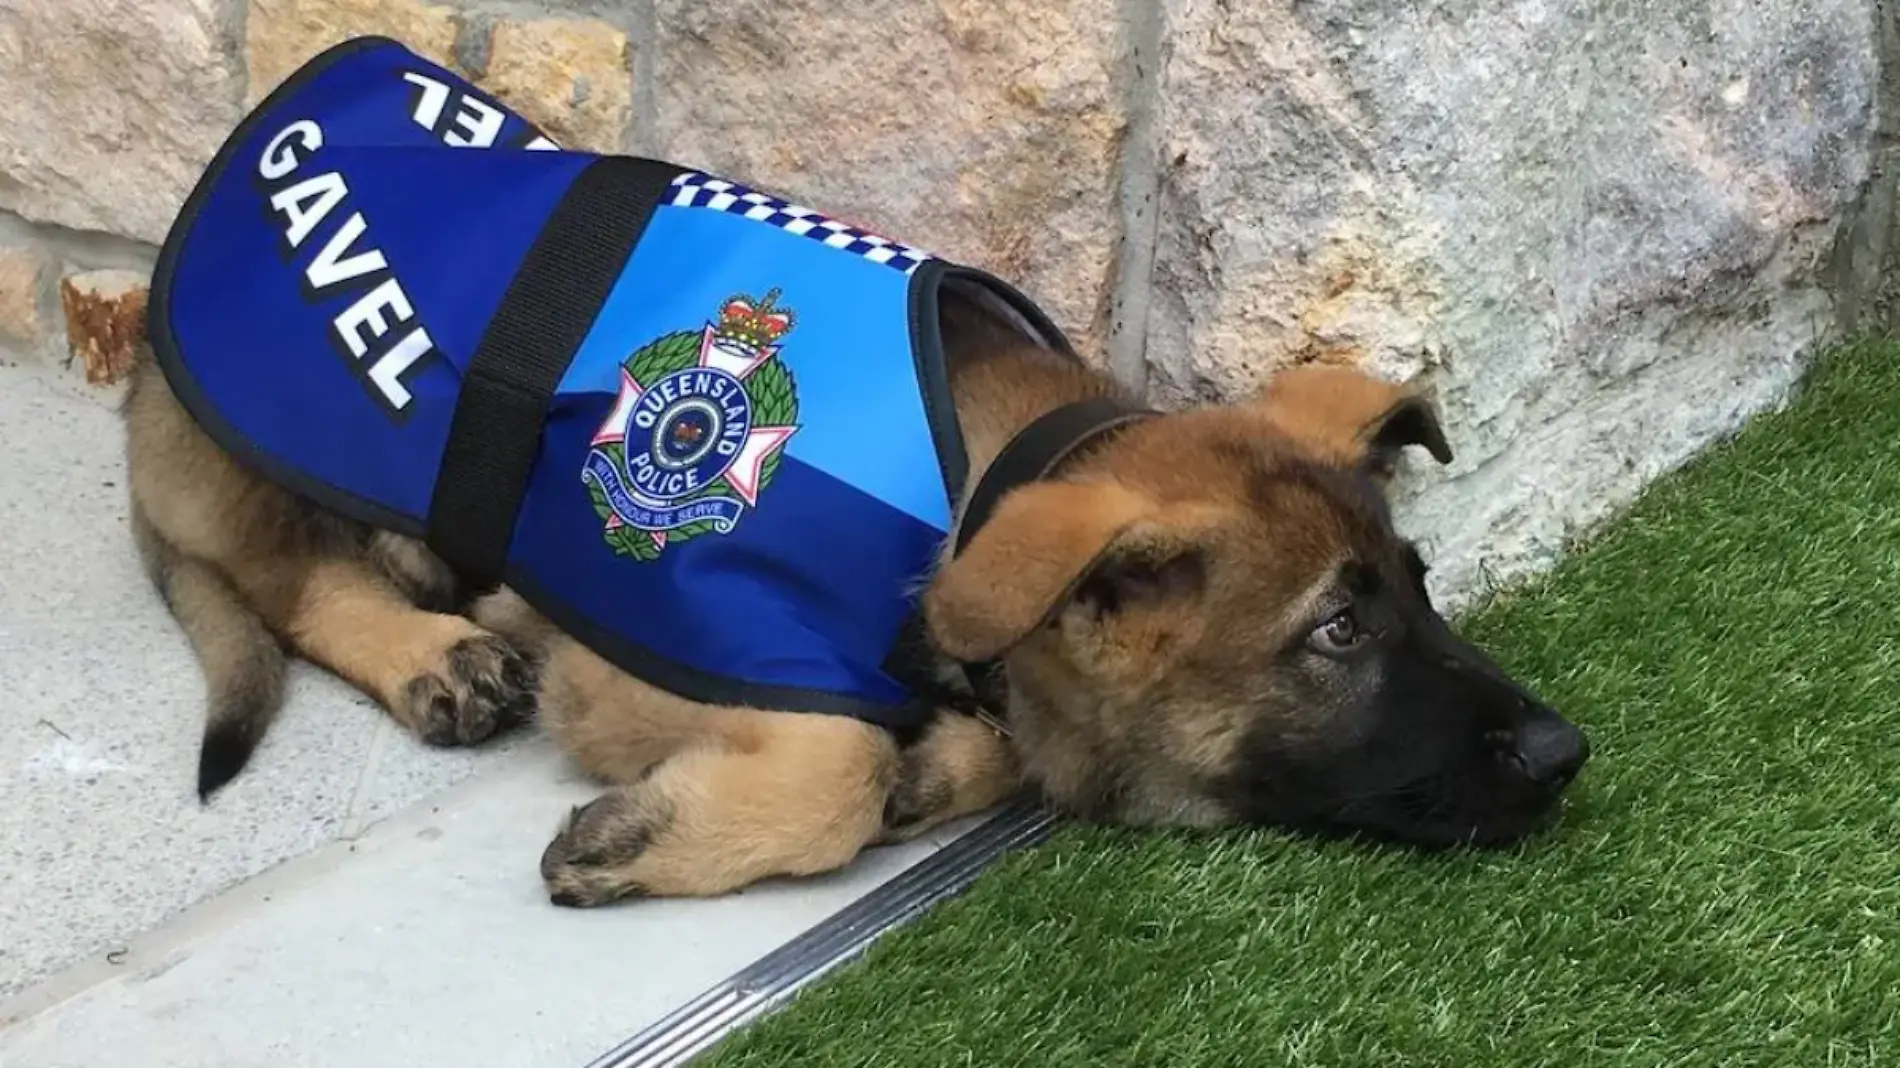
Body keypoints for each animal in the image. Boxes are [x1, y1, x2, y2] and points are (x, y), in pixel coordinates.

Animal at [122, 286, 1588, 900]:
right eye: (1335, 631)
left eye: (1419, 590)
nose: (1567, 752)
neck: (975, 484)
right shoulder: (627, 656)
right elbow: (831, 768)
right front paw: (647, 839)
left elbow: (959, 743)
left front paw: (932, 770)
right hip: (281, 452)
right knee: (291, 578)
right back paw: (433, 648)